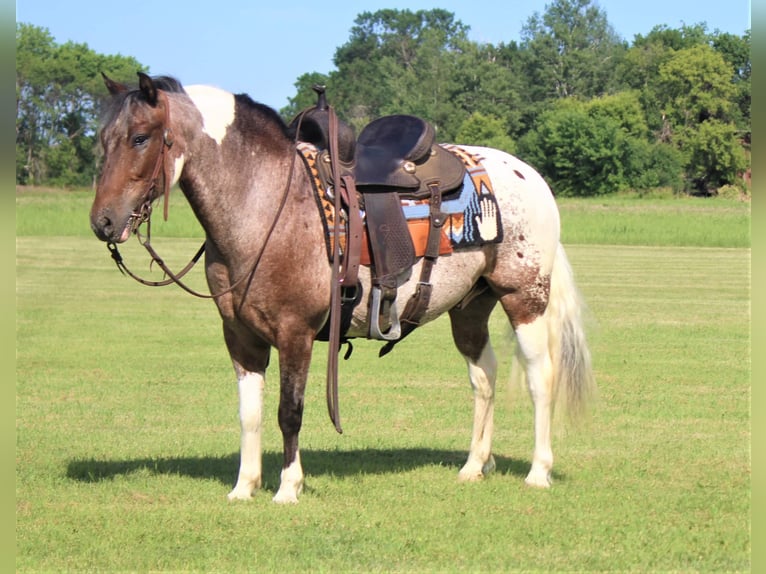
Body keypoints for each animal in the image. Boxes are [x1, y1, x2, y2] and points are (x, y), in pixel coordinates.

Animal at [88, 72, 592, 504]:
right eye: (103, 139)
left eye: (140, 137)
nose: (103, 222)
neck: (264, 202)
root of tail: (529, 174)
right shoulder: (239, 335)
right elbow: (249, 412)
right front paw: (244, 487)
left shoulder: (295, 333)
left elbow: (289, 410)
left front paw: (287, 488)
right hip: (470, 306)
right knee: (483, 375)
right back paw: (474, 465)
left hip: (523, 297)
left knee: (540, 376)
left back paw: (539, 471)